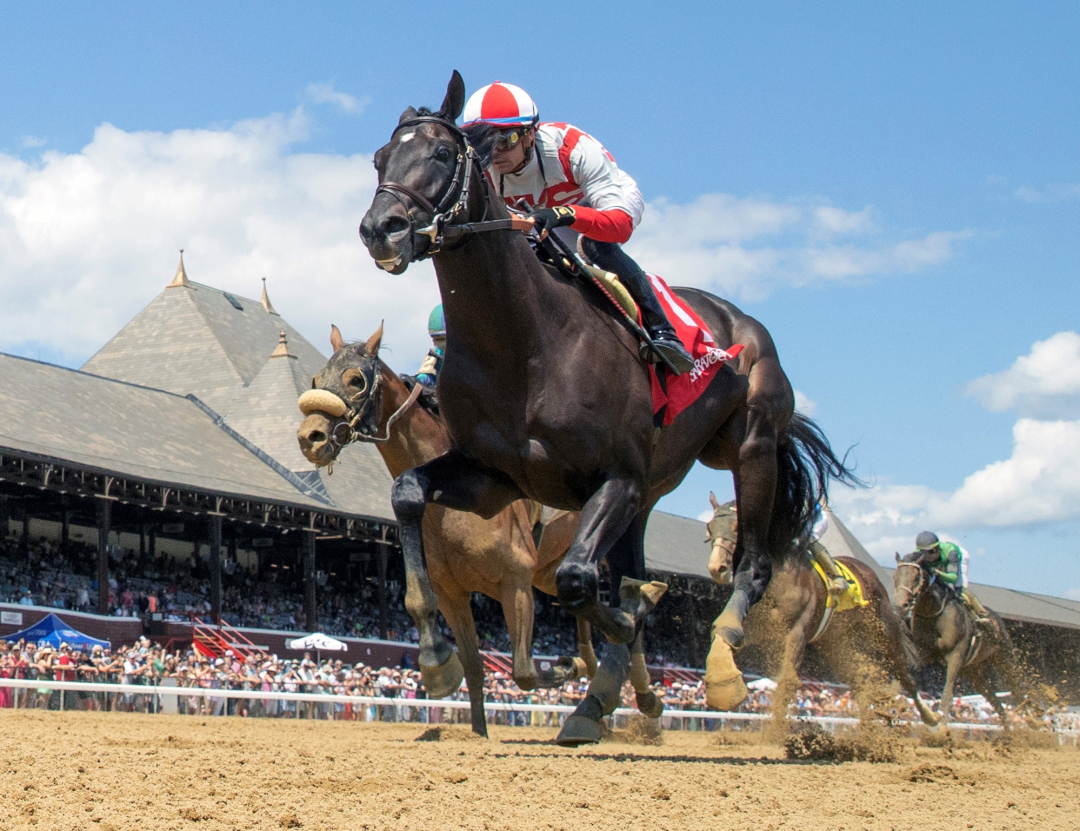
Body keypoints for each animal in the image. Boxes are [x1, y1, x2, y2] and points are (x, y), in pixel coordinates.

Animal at [295, 319, 665, 734]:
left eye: (356, 379)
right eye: (316, 378)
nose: (310, 437)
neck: (449, 508)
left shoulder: (516, 584)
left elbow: (523, 670)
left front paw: (565, 669)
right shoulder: (452, 593)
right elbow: (473, 668)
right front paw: (473, 722)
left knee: (620, 604)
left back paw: (637, 690)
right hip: (548, 573)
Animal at [356, 72, 859, 743]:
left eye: (440, 153)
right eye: (381, 158)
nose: (379, 228)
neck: (523, 345)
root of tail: (742, 323)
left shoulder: (616, 477)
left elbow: (578, 580)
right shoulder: (495, 477)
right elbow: (409, 493)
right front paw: (437, 656)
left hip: (748, 447)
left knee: (750, 565)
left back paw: (720, 661)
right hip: (654, 487)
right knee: (626, 572)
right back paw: (597, 701)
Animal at [894, 551, 1028, 726]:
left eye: (916, 577)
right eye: (895, 576)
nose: (900, 605)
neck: (935, 614)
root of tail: (996, 618)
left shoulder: (956, 654)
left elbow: (946, 696)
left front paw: (941, 728)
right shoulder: (920, 654)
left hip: (1004, 656)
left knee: (1017, 688)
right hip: (973, 670)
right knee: (993, 699)